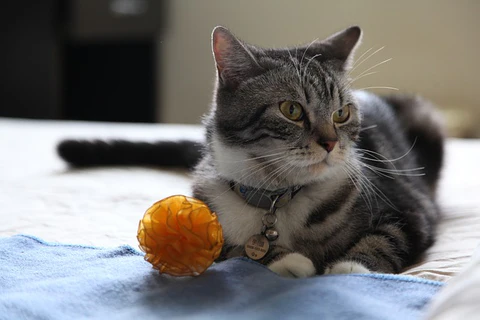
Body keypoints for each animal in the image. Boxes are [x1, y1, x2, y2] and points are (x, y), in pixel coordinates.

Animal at [58, 25, 444, 278]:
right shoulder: (212, 218)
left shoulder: (410, 208)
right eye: (291, 110)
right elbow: (237, 248)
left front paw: (351, 268)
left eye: (342, 113)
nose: (331, 143)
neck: (278, 196)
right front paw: (287, 261)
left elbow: (385, 239)